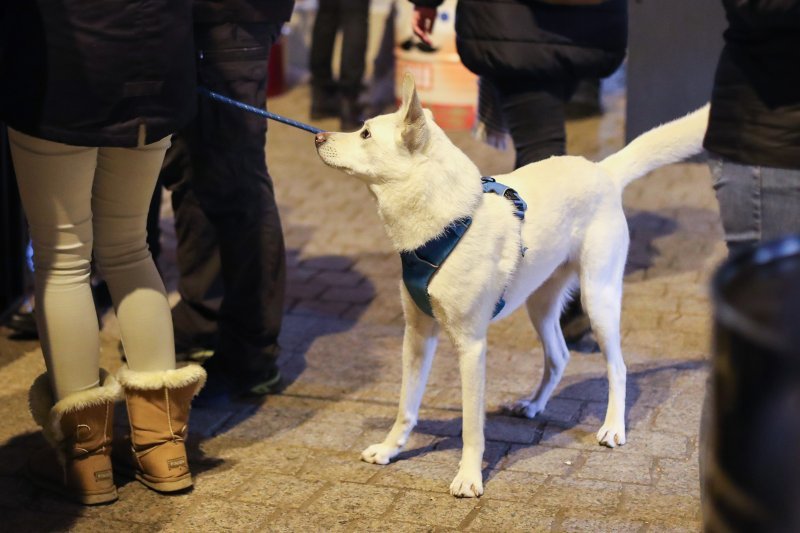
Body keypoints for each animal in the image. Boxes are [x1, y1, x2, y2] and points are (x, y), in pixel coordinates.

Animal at [316, 72, 708, 496]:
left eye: (366, 133)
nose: (317, 137)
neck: (446, 223)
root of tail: (603, 171)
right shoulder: (417, 335)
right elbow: (406, 404)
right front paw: (390, 449)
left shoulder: (471, 346)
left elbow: (472, 425)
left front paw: (469, 477)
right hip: (541, 303)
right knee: (559, 356)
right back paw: (533, 405)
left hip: (598, 297)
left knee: (617, 366)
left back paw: (613, 427)